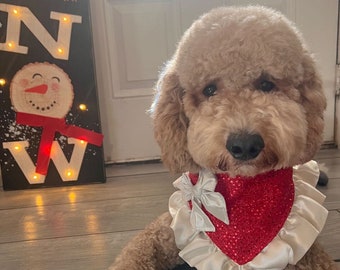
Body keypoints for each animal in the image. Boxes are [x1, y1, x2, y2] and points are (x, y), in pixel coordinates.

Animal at [110, 4, 336, 270]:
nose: (245, 145)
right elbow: (134, 251)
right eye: (209, 90)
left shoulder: (308, 252)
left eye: (267, 84)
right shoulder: (170, 227)